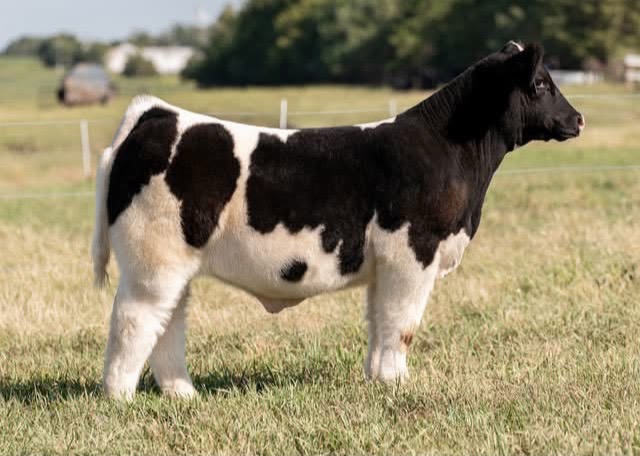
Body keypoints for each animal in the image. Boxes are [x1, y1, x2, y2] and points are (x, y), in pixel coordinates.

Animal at [91, 41, 584, 399]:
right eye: (542, 83)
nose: (578, 119)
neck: (448, 151)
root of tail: (157, 113)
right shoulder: (413, 253)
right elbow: (402, 325)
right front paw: (396, 384)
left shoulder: (385, 266)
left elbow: (380, 321)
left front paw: (377, 380)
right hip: (153, 264)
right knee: (134, 320)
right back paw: (120, 397)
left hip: (174, 266)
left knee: (167, 324)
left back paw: (182, 395)